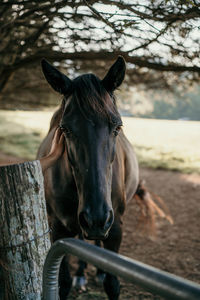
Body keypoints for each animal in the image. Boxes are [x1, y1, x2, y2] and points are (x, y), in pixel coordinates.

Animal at [37, 57, 153, 298]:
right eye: (65, 129)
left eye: (117, 127)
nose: (96, 217)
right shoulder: (58, 230)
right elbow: (62, 283)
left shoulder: (115, 227)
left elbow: (112, 284)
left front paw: (103, 273)